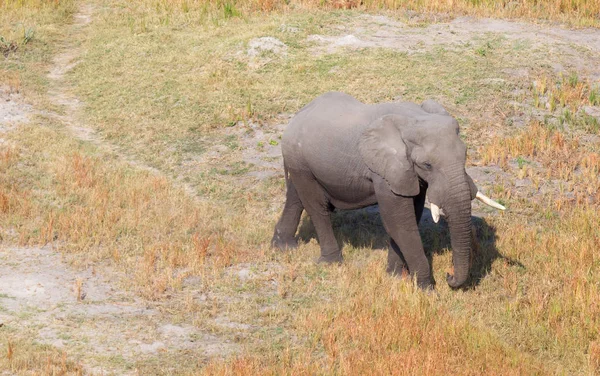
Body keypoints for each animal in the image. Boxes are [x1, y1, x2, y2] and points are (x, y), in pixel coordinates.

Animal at [270, 92, 504, 290]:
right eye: (427, 165)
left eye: (464, 155)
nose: (449, 276)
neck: (413, 119)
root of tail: (296, 116)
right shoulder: (385, 170)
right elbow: (399, 222)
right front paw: (426, 288)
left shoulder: (407, 173)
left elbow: (410, 215)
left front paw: (395, 276)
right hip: (301, 162)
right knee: (316, 208)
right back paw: (331, 262)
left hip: (300, 163)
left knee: (296, 198)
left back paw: (283, 247)